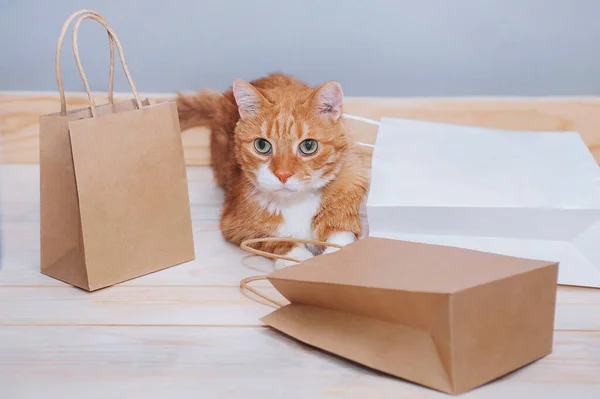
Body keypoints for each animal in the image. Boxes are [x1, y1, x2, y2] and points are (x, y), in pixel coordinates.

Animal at [176, 74, 368, 268]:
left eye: (308, 146)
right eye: (262, 145)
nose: (282, 175)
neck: (296, 203)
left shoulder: (347, 219)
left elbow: (341, 241)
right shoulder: (238, 228)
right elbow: (279, 241)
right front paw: (300, 259)